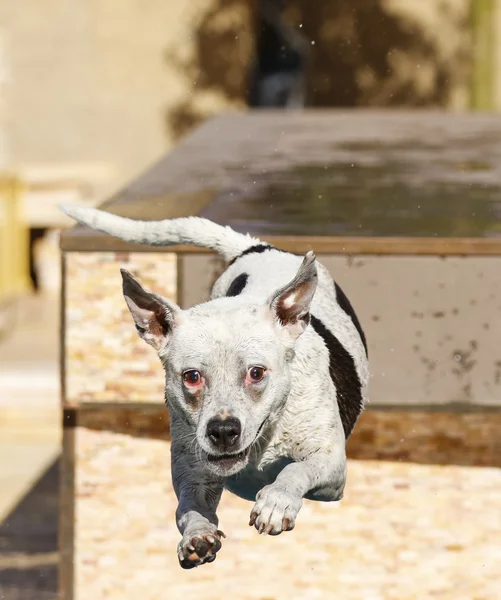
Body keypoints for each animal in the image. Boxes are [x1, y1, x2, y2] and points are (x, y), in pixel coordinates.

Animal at [60, 205, 370, 568]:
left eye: (256, 372)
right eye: (192, 376)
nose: (222, 431)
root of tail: (259, 247)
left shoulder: (332, 466)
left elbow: (296, 469)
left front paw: (276, 502)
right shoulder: (192, 473)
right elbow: (188, 508)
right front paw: (197, 535)